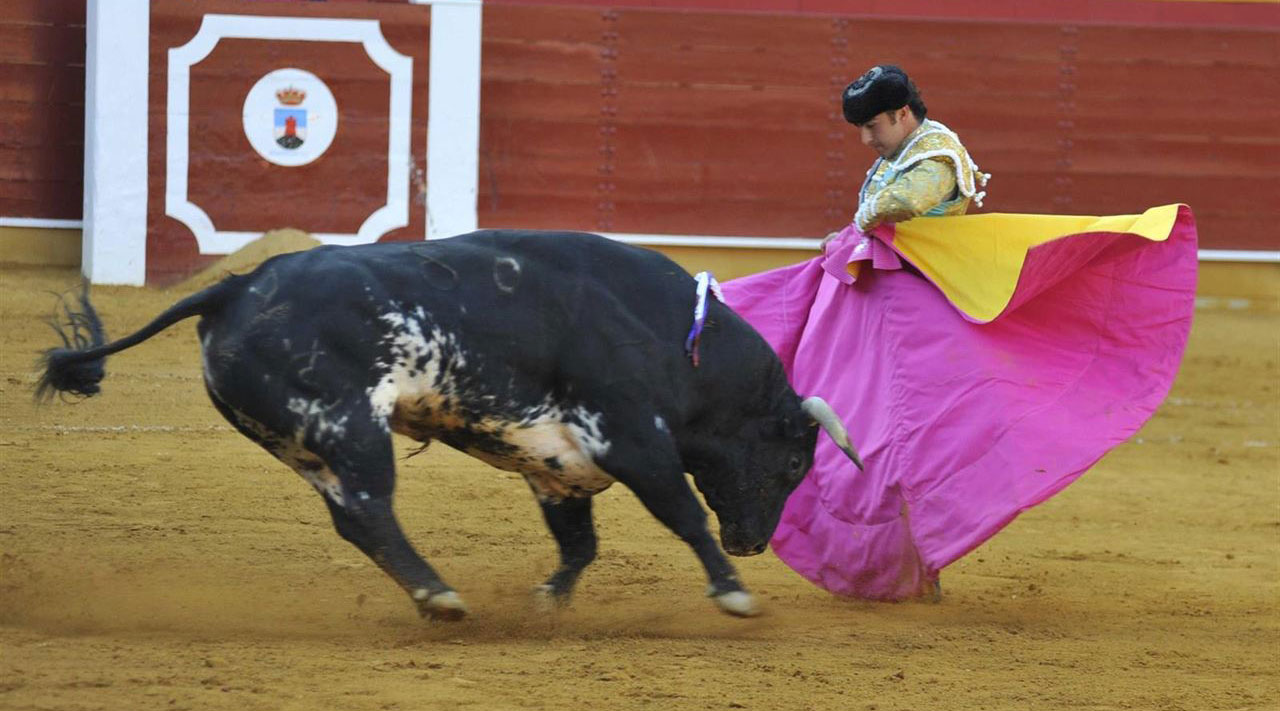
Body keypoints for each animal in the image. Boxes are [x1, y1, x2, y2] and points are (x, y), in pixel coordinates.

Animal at [37, 230, 860, 620]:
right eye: (795, 464)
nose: (752, 543)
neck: (674, 335)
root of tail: (234, 287)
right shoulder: (631, 439)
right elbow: (684, 513)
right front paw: (732, 592)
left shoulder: (559, 468)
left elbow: (580, 545)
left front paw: (546, 605)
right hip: (351, 426)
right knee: (372, 511)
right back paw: (439, 596)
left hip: (307, 442)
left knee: (355, 519)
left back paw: (434, 594)